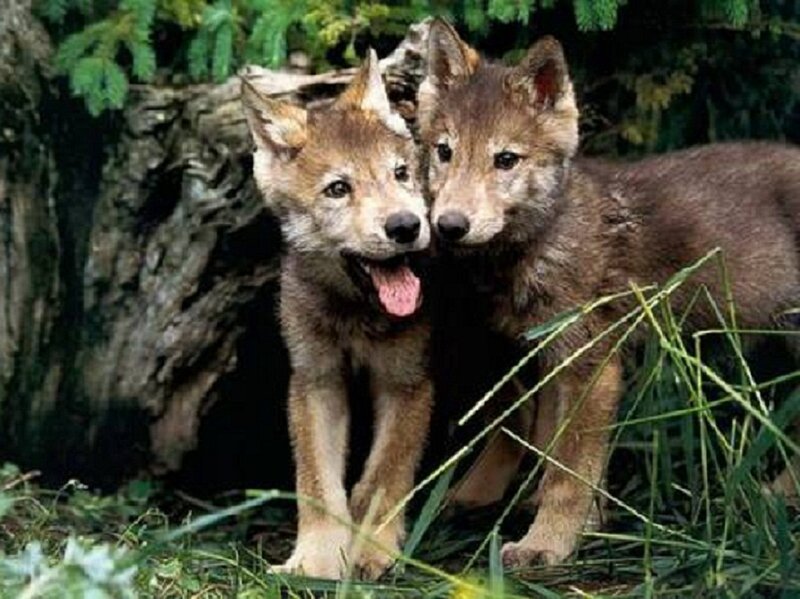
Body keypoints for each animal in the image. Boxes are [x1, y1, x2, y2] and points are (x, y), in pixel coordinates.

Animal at [242, 51, 432, 580]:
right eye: (338, 189)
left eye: (401, 173)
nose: (405, 226)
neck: (354, 315)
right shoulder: (315, 381)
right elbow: (317, 486)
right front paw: (316, 562)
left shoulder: (407, 382)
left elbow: (383, 477)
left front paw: (373, 552)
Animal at [418, 19, 800, 568]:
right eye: (444, 151)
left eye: (505, 160)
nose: (449, 225)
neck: (543, 242)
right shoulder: (546, 355)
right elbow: (550, 448)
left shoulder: (592, 365)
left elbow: (569, 473)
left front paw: (548, 543)